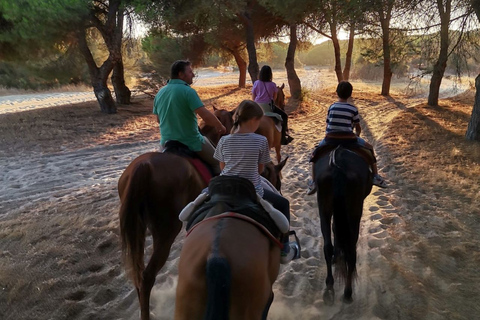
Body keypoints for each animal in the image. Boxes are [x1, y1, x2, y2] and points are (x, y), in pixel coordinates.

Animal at [118, 151, 286, 318]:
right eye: (278, 181)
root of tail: (144, 166)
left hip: (139, 228)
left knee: (138, 274)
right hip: (167, 230)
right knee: (147, 276)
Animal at [314, 146, 374, 304]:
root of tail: (338, 165)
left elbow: (335, 229)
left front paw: (337, 256)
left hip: (324, 208)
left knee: (327, 246)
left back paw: (329, 281)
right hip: (354, 212)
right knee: (351, 252)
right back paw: (348, 292)